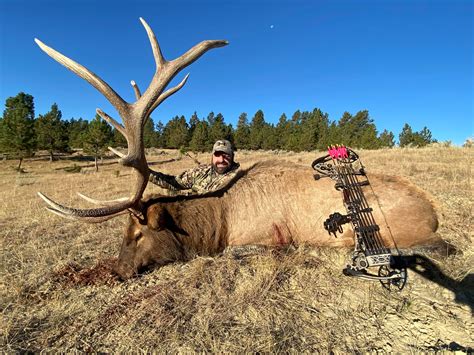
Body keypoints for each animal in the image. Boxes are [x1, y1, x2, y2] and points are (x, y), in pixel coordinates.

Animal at [36, 18, 440, 280]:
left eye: (136, 234)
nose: (116, 271)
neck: (218, 222)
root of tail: (435, 213)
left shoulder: (265, 236)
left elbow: (242, 251)